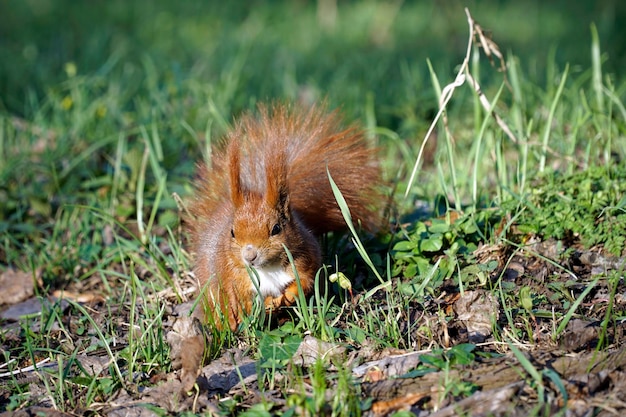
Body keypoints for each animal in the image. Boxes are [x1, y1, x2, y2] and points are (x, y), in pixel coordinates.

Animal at [185, 103, 380, 332]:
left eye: (276, 229)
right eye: (232, 232)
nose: (249, 256)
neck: (267, 269)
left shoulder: (305, 260)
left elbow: (304, 283)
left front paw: (284, 298)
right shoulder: (232, 275)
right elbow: (240, 298)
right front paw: (256, 308)